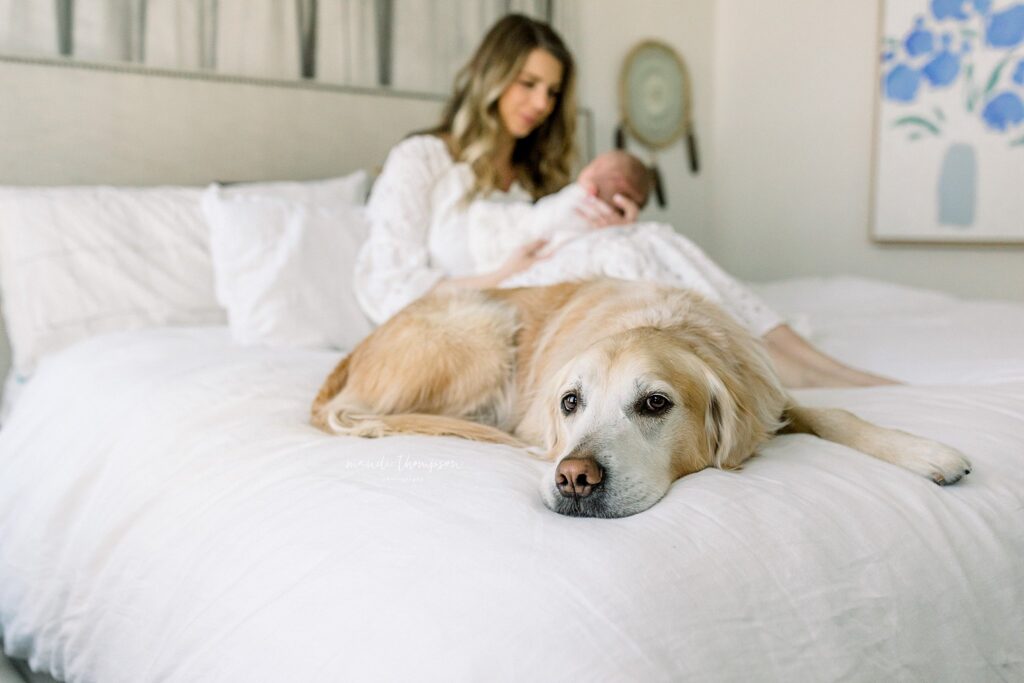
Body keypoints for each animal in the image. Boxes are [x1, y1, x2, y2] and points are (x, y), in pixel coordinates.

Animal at [309, 278, 966, 518]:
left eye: (654, 404)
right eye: (570, 402)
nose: (574, 478)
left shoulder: (768, 397)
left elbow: (835, 411)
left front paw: (925, 452)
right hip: (484, 326)